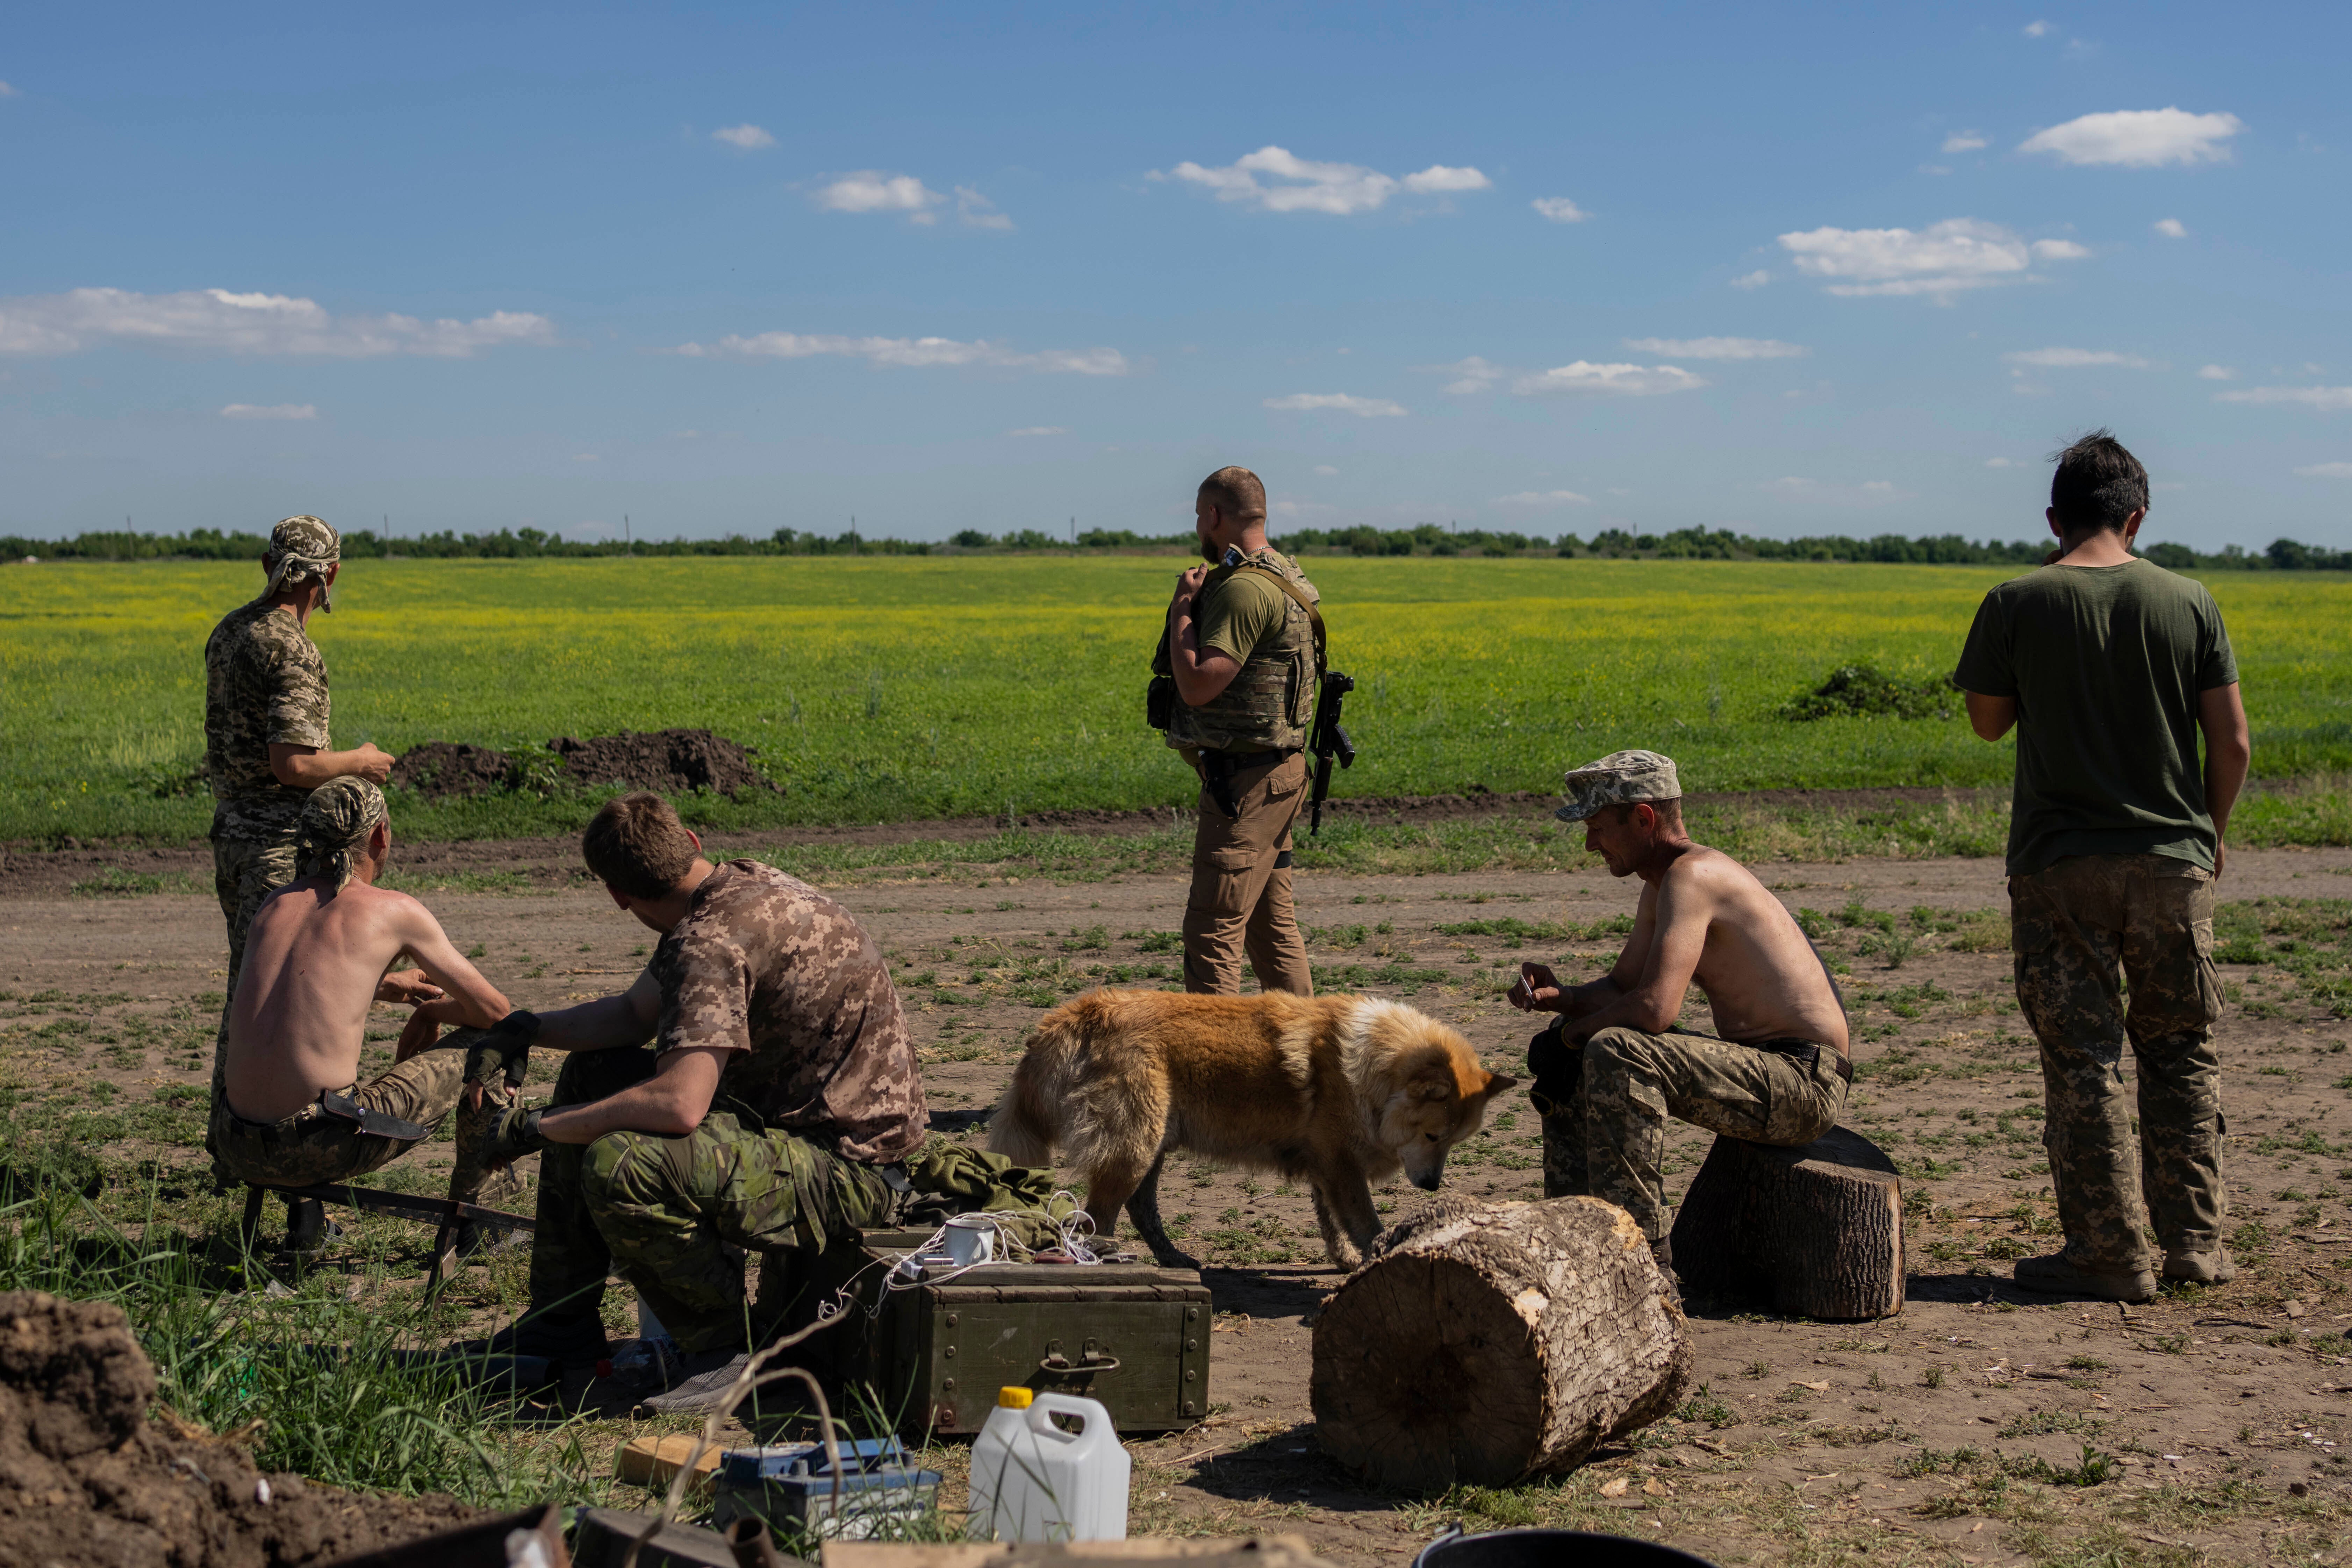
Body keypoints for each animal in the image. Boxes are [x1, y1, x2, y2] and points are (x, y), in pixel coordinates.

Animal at [983, 992, 1514, 1279]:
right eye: (1432, 1136)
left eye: (1454, 1142)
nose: (1431, 1187)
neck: (1369, 1066)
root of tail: (1073, 1015)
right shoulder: (1341, 1165)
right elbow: (1365, 1223)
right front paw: (1374, 1258)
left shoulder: (1325, 1165)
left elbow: (1332, 1223)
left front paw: (1343, 1259)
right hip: (1134, 1146)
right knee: (1100, 1215)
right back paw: (1112, 1258)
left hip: (1151, 1144)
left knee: (1140, 1208)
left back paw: (1174, 1259)